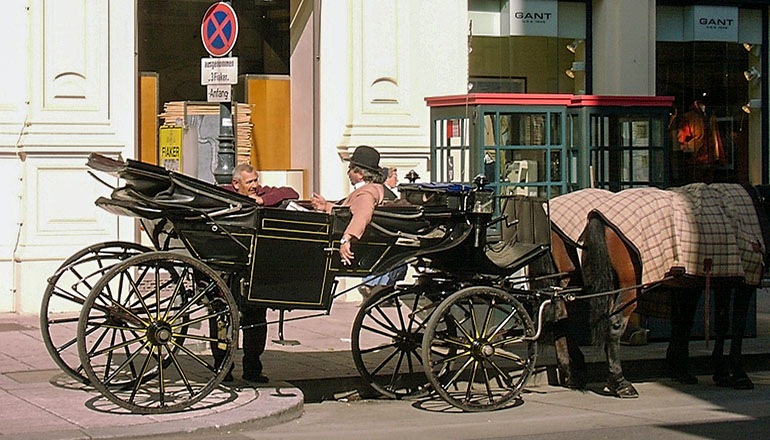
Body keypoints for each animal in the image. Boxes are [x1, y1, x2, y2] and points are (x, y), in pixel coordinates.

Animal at [540, 184, 768, 398]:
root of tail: (597, 217)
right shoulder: (744, 280)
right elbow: (734, 326)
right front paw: (738, 374)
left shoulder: (705, 281)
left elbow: (694, 322)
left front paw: (687, 369)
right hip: (627, 286)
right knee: (612, 323)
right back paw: (618, 381)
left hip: (575, 281)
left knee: (561, 316)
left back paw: (571, 372)